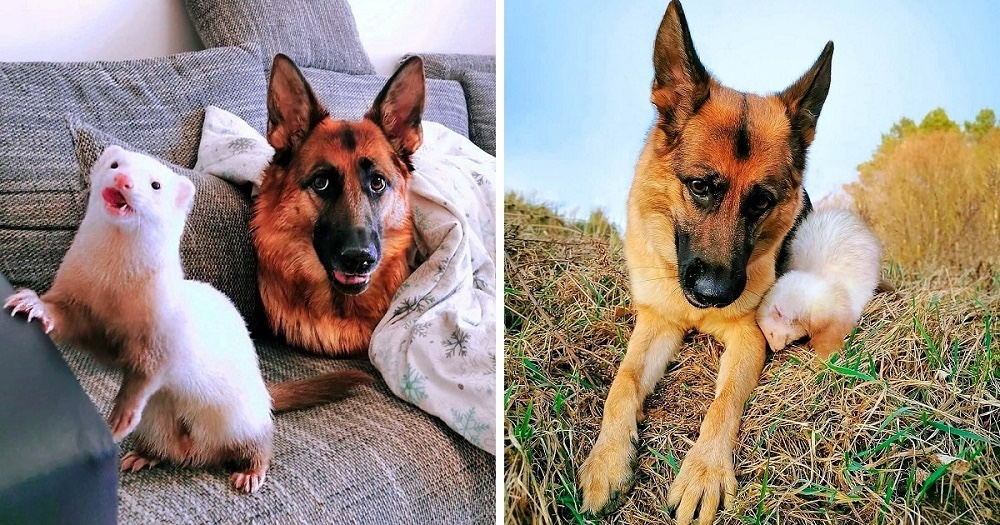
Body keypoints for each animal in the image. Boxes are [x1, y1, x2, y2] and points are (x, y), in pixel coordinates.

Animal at [576, 2, 832, 520]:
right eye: (700, 186)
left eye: (761, 202)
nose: (713, 295)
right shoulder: (657, 322)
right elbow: (623, 383)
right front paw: (608, 459)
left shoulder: (749, 338)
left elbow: (724, 401)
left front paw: (705, 472)